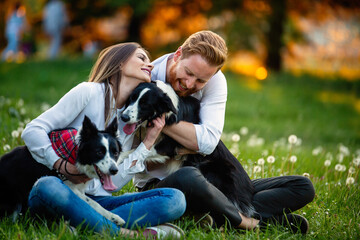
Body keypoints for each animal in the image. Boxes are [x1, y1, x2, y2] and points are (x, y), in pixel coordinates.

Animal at [119, 80, 255, 218]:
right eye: (131, 98)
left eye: (145, 104)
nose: (123, 117)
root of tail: (247, 198)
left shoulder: (169, 147)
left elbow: (136, 151)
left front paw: (118, 157)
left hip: (209, 167)